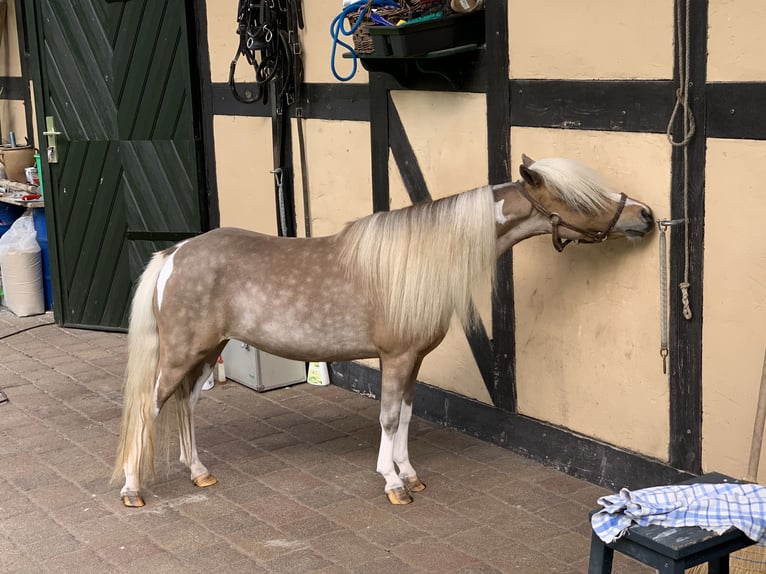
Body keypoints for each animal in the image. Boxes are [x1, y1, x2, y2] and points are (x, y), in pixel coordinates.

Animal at [114, 154, 656, 508]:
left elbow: (408, 417)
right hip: (182, 354)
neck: (420, 259)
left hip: (206, 351)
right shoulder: (394, 359)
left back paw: (199, 474)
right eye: (580, 196)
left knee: (185, 406)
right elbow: (390, 418)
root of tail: (175, 252)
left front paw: (410, 475)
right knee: (149, 407)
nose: (645, 215)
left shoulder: (413, 361)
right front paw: (392, 484)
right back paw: (132, 489)